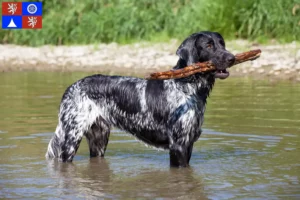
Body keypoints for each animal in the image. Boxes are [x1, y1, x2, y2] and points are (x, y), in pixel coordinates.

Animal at [45, 30, 236, 167]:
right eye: (209, 45)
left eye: (223, 44)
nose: (232, 58)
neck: (187, 86)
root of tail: (71, 87)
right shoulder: (178, 145)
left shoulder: (188, 143)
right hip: (70, 140)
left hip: (99, 139)